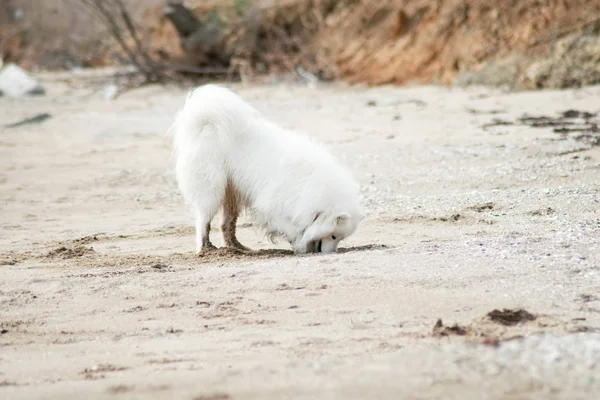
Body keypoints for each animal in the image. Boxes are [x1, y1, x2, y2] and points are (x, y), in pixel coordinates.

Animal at [171, 85, 364, 255]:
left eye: (339, 238)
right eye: (333, 236)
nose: (331, 252)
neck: (312, 186)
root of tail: (204, 121)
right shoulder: (271, 206)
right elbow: (293, 229)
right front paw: (300, 245)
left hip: (232, 193)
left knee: (227, 224)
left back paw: (238, 248)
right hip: (212, 190)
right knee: (203, 222)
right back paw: (207, 249)